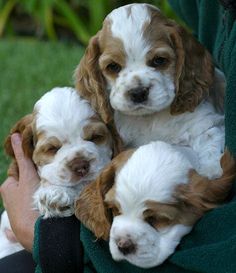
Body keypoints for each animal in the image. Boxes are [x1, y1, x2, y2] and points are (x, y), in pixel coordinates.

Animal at [75, 3, 225, 180]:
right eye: (113, 66)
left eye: (159, 60)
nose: (138, 92)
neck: (150, 118)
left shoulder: (204, 123)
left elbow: (210, 141)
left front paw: (210, 171)